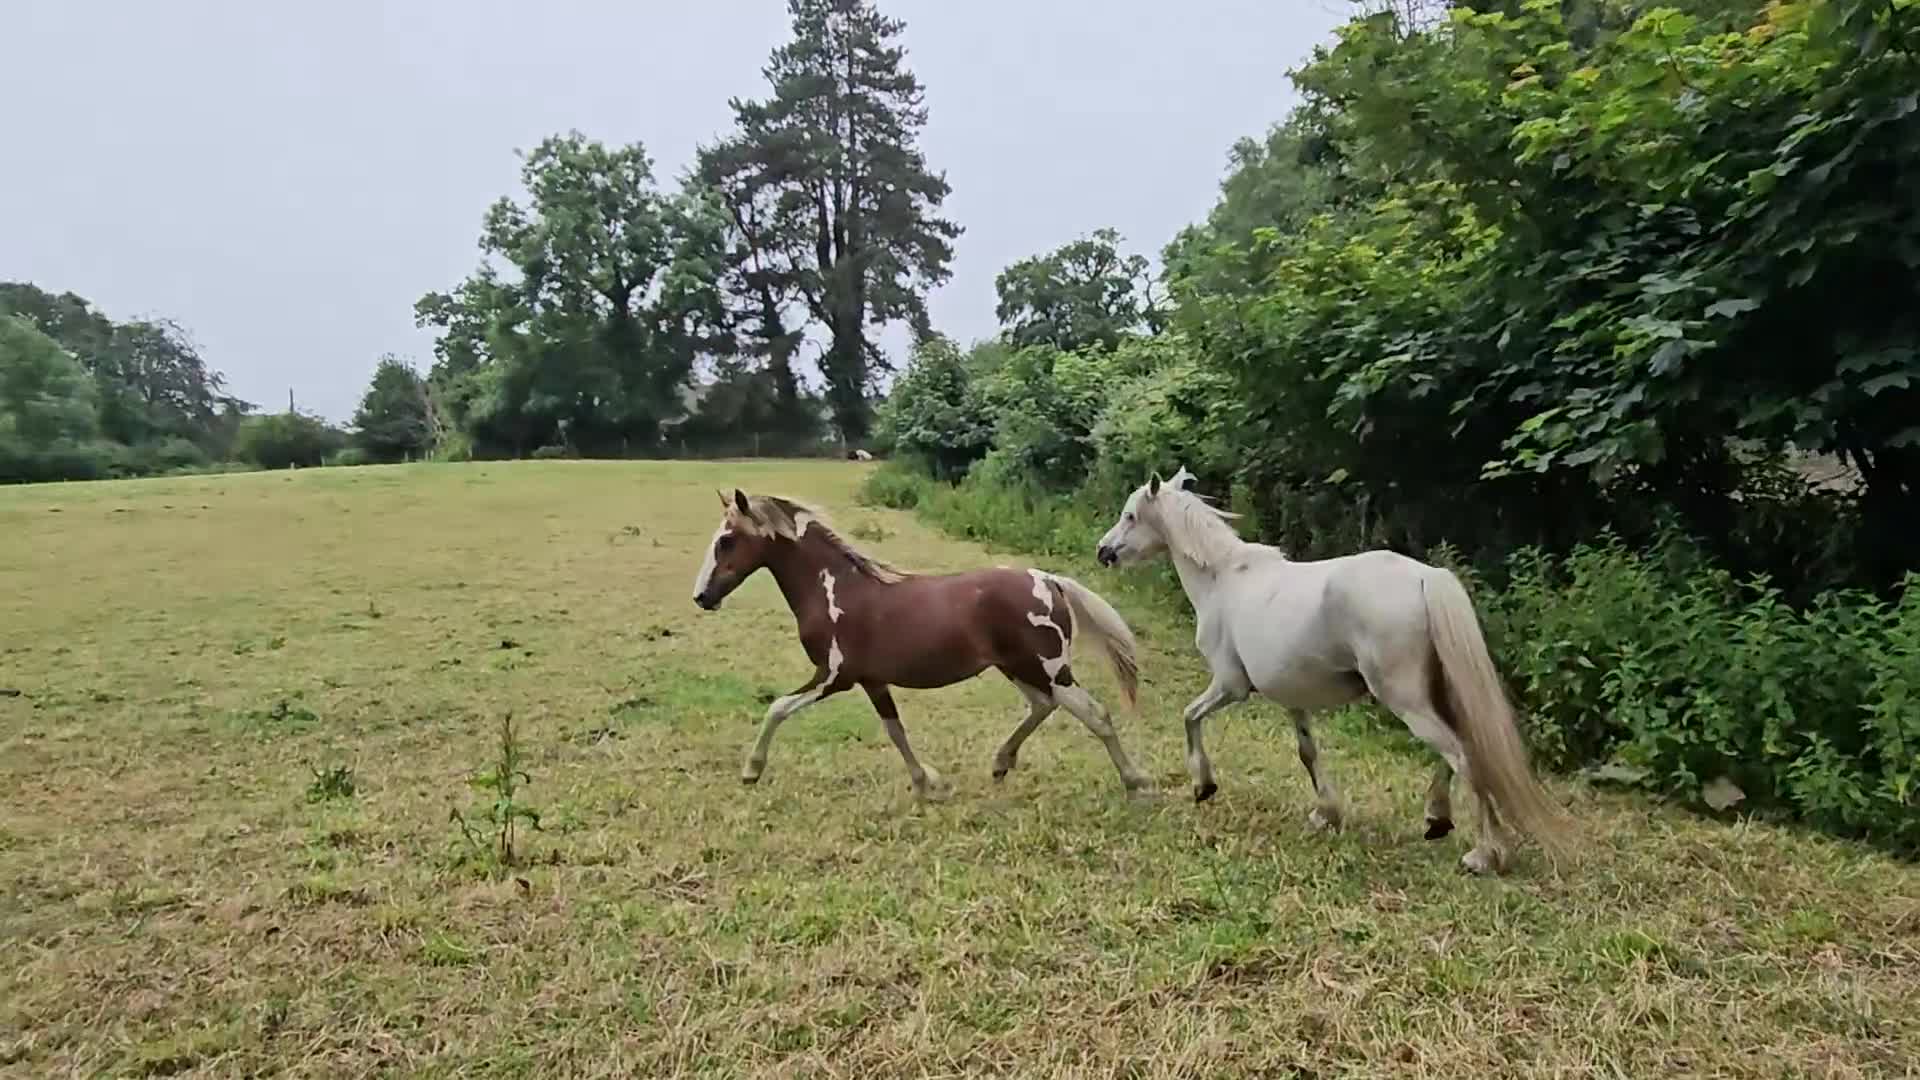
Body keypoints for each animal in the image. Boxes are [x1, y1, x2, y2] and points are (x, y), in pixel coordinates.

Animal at [691, 490, 1155, 798]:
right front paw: (925, 782)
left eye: (726, 539)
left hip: (1049, 669)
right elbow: (895, 730)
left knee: (1095, 714)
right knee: (1043, 706)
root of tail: (1048, 579)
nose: (702, 597)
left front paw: (751, 771)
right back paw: (1000, 763)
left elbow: (777, 708)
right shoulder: (872, 680)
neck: (835, 590)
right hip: (1020, 667)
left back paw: (1135, 781)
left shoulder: (834, 675)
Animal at [1093, 468, 1573, 874]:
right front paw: (1326, 813)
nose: (1103, 552)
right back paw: (1437, 820)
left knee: (1462, 756)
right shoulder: (1292, 698)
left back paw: (1484, 854)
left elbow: (1190, 717)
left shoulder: (1229, 686)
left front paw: (1203, 785)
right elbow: (1308, 752)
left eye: (1131, 515)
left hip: (1406, 700)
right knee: (1457, 753)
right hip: (1430, 696)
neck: (1225, 580)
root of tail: (1426, 577)